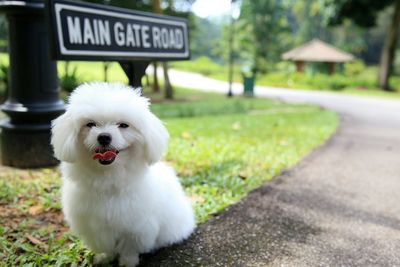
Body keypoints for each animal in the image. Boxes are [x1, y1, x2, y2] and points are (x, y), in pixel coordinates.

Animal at [51, 82, 195, 266]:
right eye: (90, 124)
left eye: (124, 125)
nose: (104, 137)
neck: (109, 176)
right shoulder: (96, 227)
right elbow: (106, 245)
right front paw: (104, 258)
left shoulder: (135, 227)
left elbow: (129, 248)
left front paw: (127, 262)